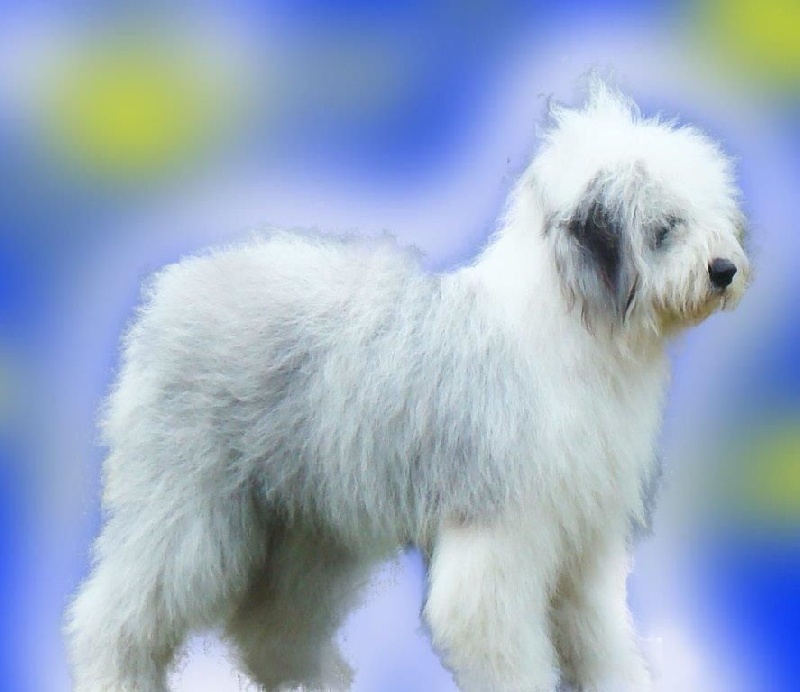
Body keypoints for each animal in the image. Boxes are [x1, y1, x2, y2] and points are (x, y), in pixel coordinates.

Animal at [65, 79, 750, 692]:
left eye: (711, 219)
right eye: (665, 226)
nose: (724, 269)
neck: (579, 331)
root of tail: (175, 287)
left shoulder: (584, 541)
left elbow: (600, 637)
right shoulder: (501, 530)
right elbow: (497, 638)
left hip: (308, 522)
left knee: (272, 624)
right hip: (188, 505)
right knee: (120, 610)